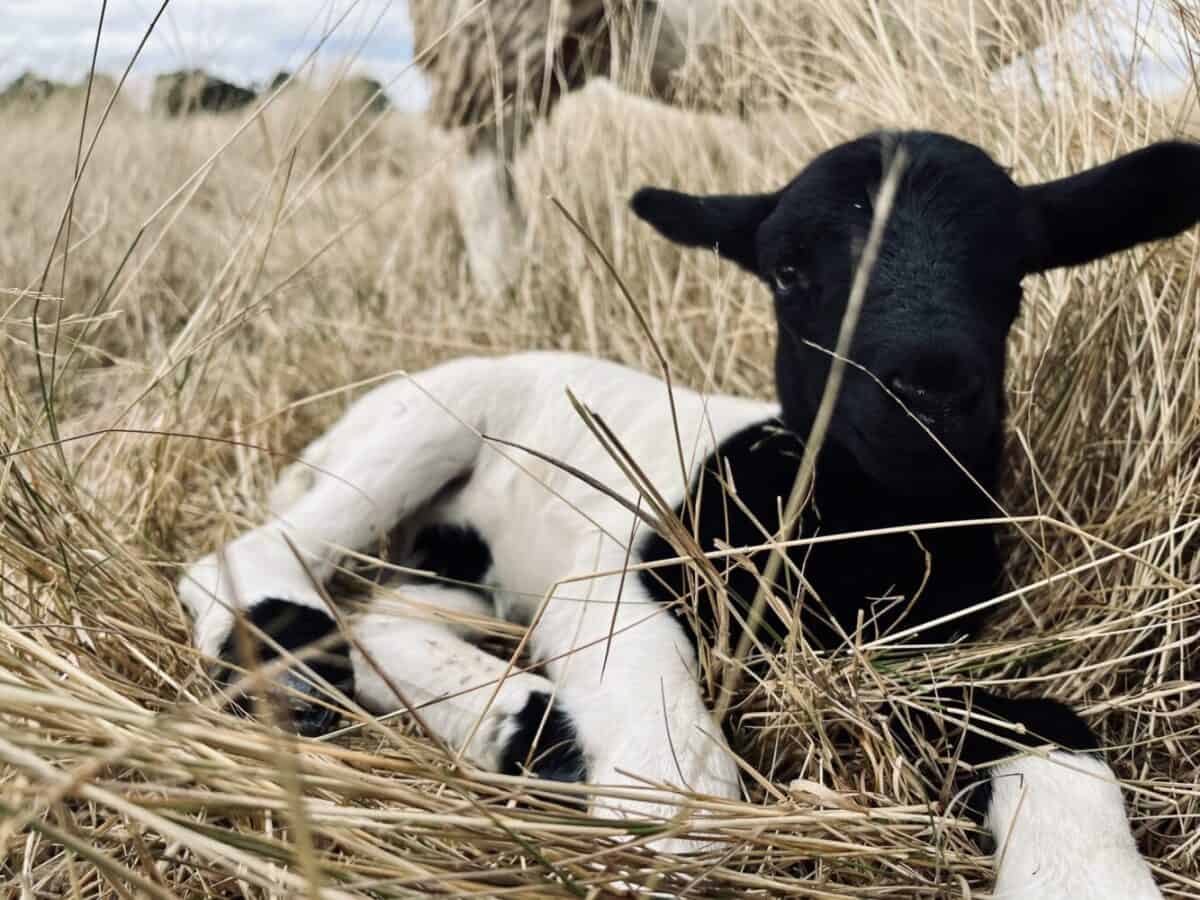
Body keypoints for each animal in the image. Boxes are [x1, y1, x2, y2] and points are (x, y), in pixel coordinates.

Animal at [180, 130, 1200, 897]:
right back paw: (309, 674)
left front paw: (1088, 875)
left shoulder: (915, 657)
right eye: (788, 271)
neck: (851, 534)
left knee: (384, 611)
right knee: (255, 558)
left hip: (457, 567)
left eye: (1018, 274)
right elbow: (645, 668)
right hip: (421, 433)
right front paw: (671, 811)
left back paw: (513, 721)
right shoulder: (622, 571)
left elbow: (1046, 717)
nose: (929, 392)